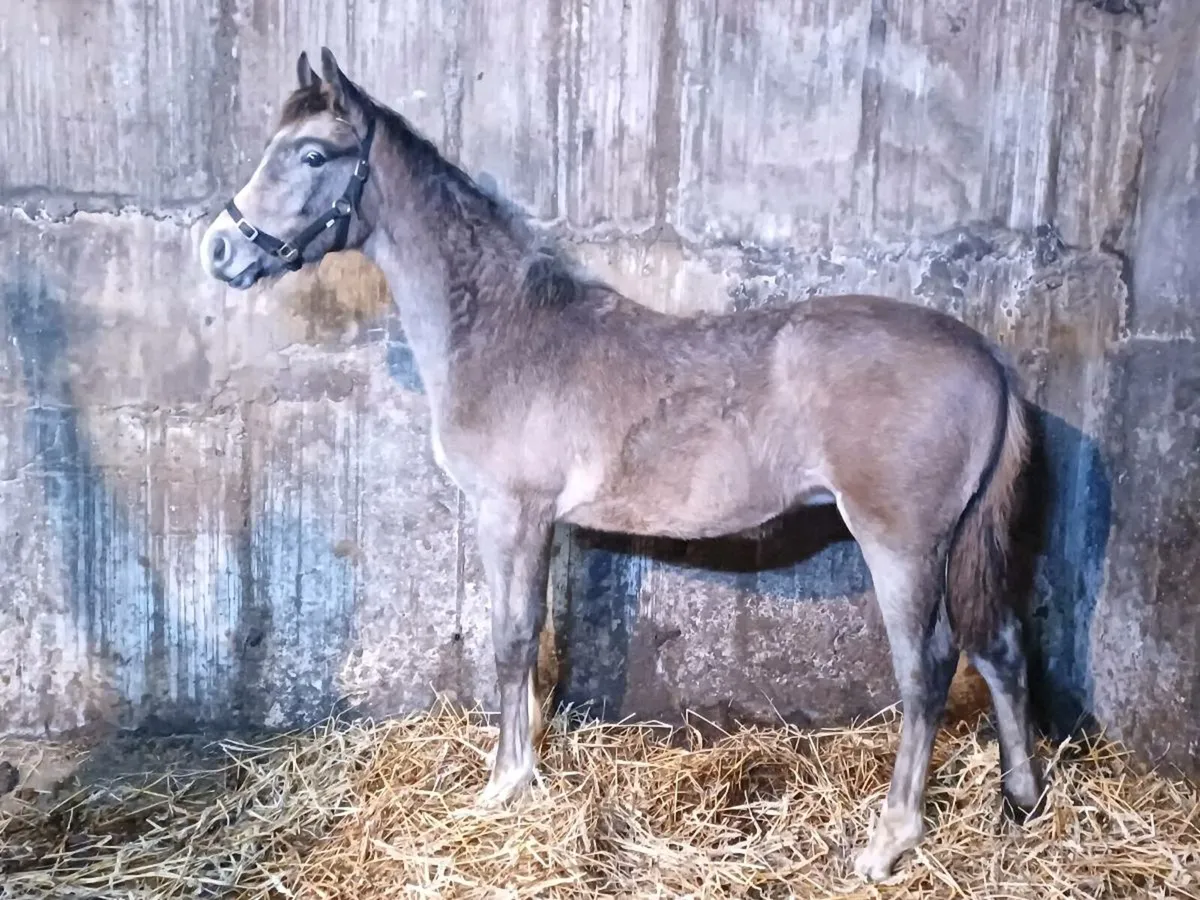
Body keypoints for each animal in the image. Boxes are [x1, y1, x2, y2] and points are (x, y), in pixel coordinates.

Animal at [198, 48, 1044, 881]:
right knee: (999, 646)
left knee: (927, 671)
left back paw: (889, 840)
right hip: (958, 545)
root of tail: (986, 359)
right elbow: (535, 642)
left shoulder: (512, 513)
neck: (507, 331)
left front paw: (505, 782)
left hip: (902, 546)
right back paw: (1022, 796)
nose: (219, 249)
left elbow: (511, 640)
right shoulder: (545, 526)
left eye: (313, 153)